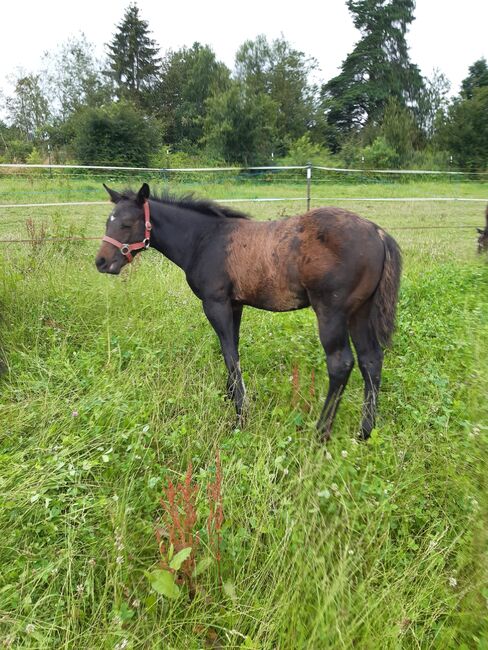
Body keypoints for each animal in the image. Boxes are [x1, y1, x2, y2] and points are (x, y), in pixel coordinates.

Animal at [94, 182, 400, 440]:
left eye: (127, 223)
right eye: (108, 222)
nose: (101, 262)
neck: (203, 239)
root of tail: (378, 233)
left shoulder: (215, 303)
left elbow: (229, 353)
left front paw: (240, 416)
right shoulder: (235, 304)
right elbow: (233, 349)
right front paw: (230, 397)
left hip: (332, 313)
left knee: (341, 363)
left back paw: (321, 432)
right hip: (360, 311)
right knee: (371, 360)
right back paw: (364, 431)